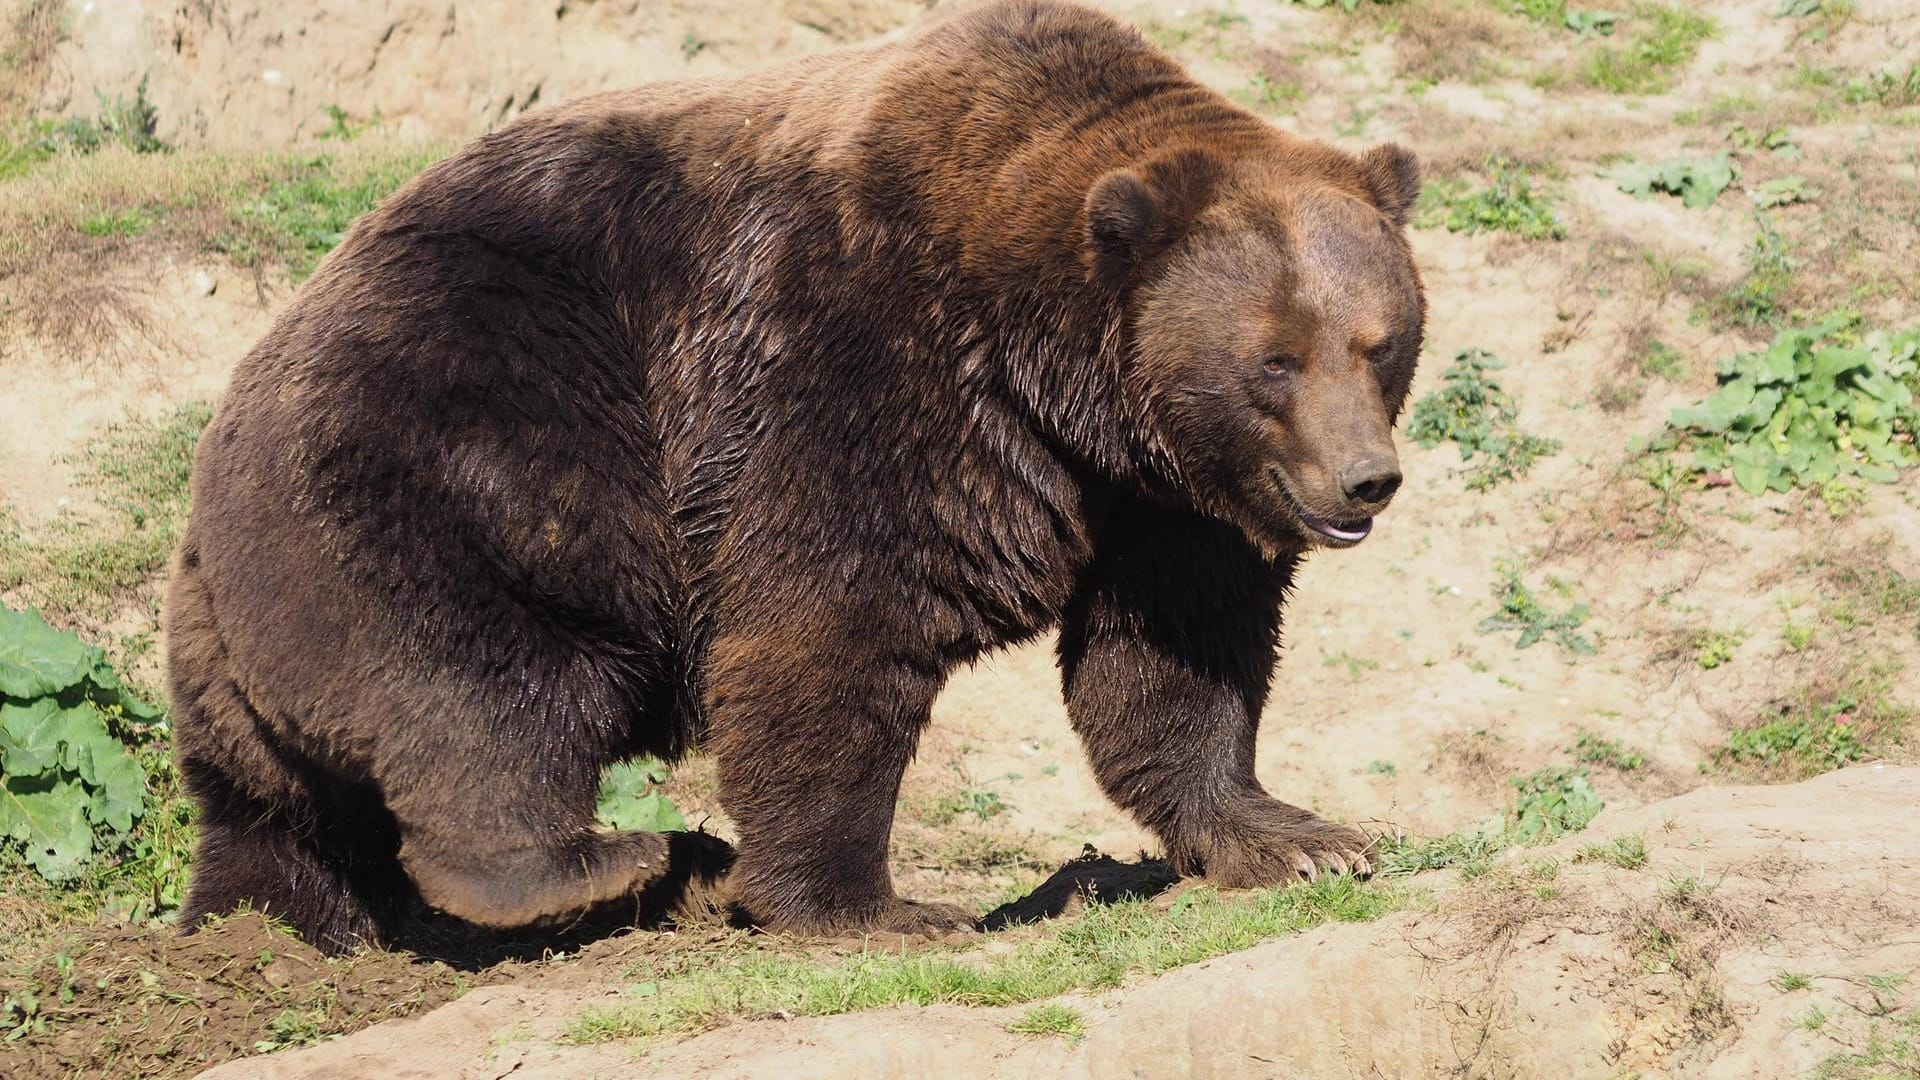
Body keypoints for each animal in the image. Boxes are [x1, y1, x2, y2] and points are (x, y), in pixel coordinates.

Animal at [165, 0, 1428, 949]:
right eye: (1274, 359)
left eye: (1378, 340)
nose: (1365, 481)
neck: (1052, 367)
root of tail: (229, 416)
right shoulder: (862, 364)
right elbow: (829, 621)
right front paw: (872, 906)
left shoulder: (1154, 500)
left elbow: (1175, 656)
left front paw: (1301, 839)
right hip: (461, 453)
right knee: (484, 688)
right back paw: (619, 861)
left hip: (225, 636)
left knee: (272, 808)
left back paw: (266, 931)